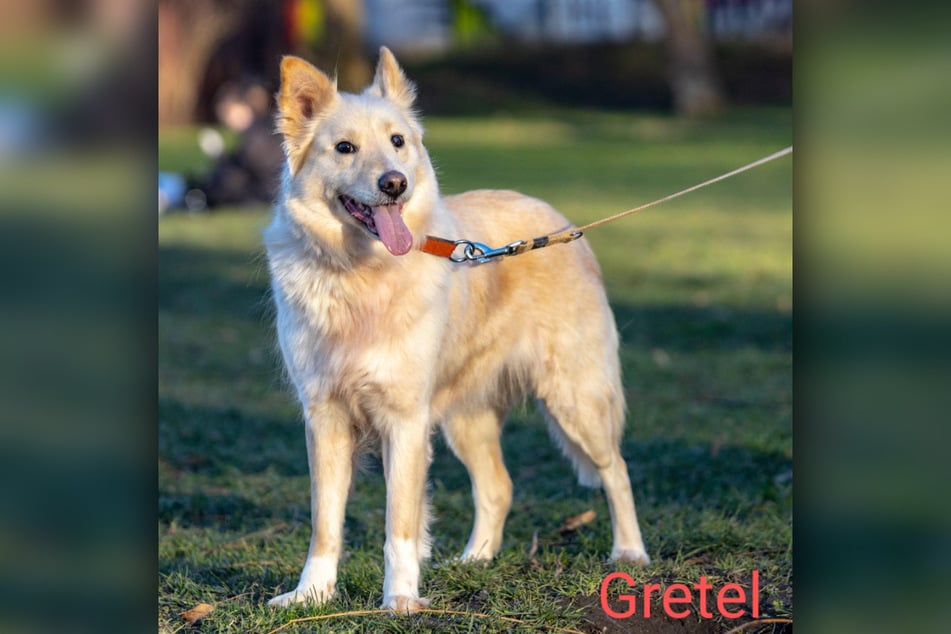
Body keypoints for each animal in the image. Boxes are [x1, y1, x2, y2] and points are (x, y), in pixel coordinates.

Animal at [264, 47, 652, 608]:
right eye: (344, 148)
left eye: (397, 141)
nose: (395, 184)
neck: (359, 272)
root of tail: (559, 221)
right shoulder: (325, 417)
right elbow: (325, 523)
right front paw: (312, 595)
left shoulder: (404, 421)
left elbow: (399, 524)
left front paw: (400, 601)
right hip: (466, 417)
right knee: (498, 486)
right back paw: (476, 560)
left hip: (576, 397)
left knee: (616, 470)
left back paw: (630, 552)